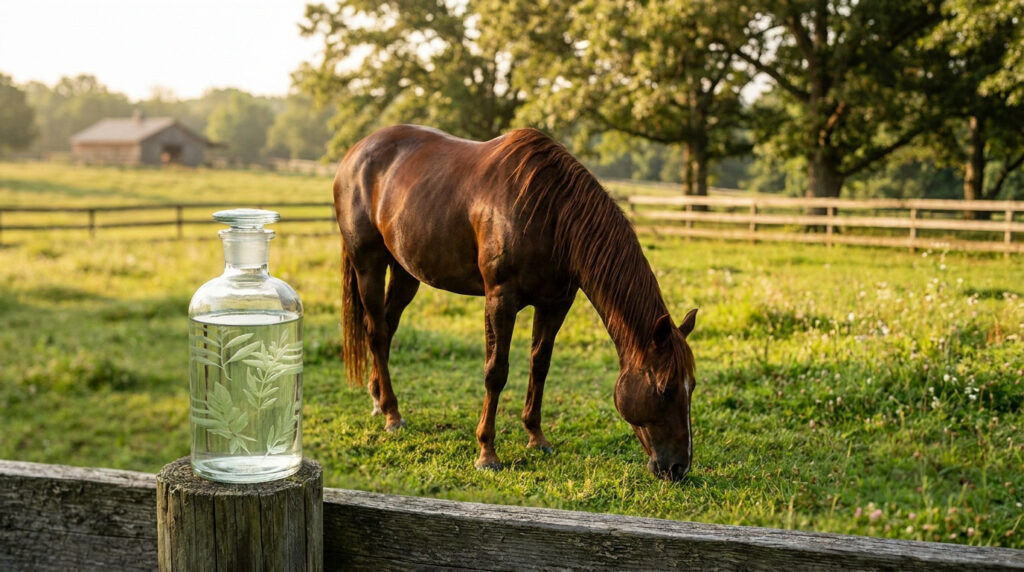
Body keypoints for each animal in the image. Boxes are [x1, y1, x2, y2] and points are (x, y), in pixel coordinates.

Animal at [333, 124, 698, 481]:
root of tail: (355, 153)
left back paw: (378, 399)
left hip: (406, 272)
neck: (551, 212)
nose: (679, 467)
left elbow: (540, 365)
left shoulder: (556, 304)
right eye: (666, 389)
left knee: (387, 327)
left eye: (691, 386)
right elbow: (496, 371)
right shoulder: (500, 300)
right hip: (369, 265)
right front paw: (487, 453)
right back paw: (392, 414)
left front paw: (537, 437)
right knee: (376, 332)